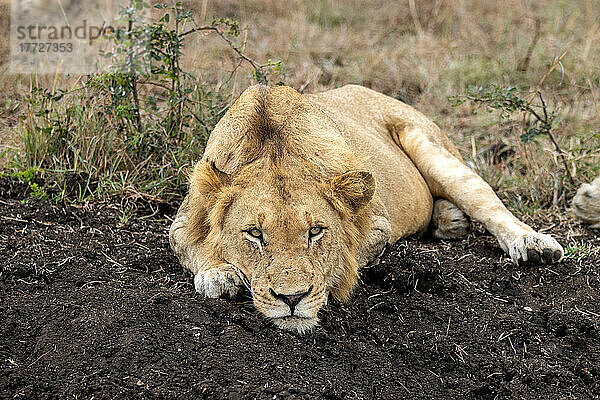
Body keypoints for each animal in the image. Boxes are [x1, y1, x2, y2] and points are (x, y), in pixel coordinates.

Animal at [168, 85, 564, 334]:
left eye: (316, 231)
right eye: (254, 233)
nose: (292, 299)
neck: (273, 150)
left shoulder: (377, 224)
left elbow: (353, 255)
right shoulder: (183, 220)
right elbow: (192, 247)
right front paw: (219, 274)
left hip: (430, 145)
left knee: (489, 204)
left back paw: (533, 245)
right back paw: (449, 220)